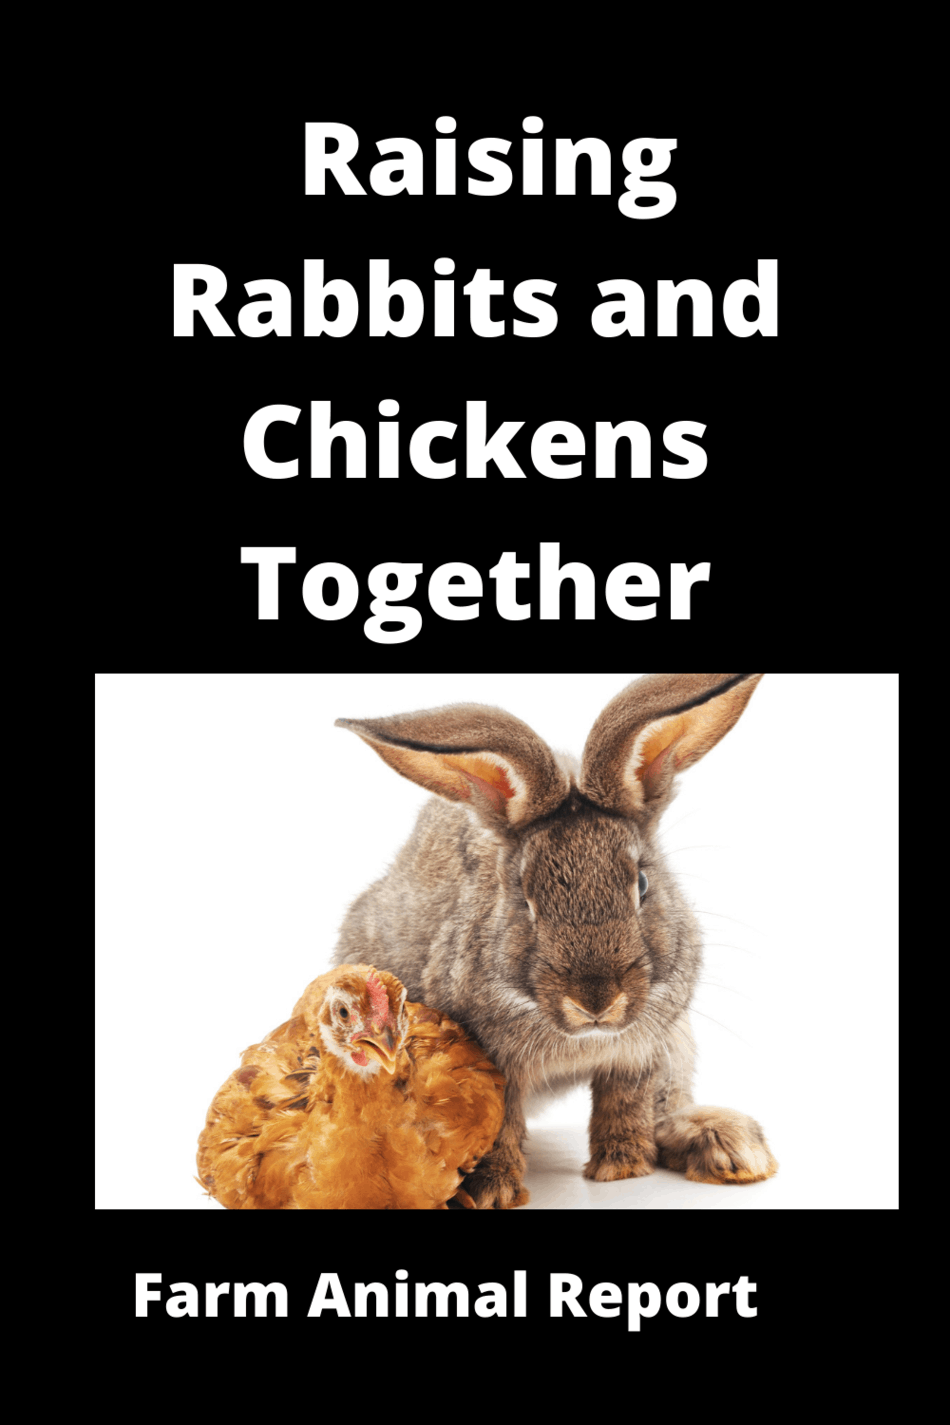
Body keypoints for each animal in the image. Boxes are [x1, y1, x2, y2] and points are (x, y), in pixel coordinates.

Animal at [331, 672, 777, 1208]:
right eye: (524, 896)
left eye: (642, 884)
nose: (596, 1001)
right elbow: (497, 1124)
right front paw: (492, 1193)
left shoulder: (643, 1051)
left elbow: (625, 1105)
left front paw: (622, 1170)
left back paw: (725, 1145)